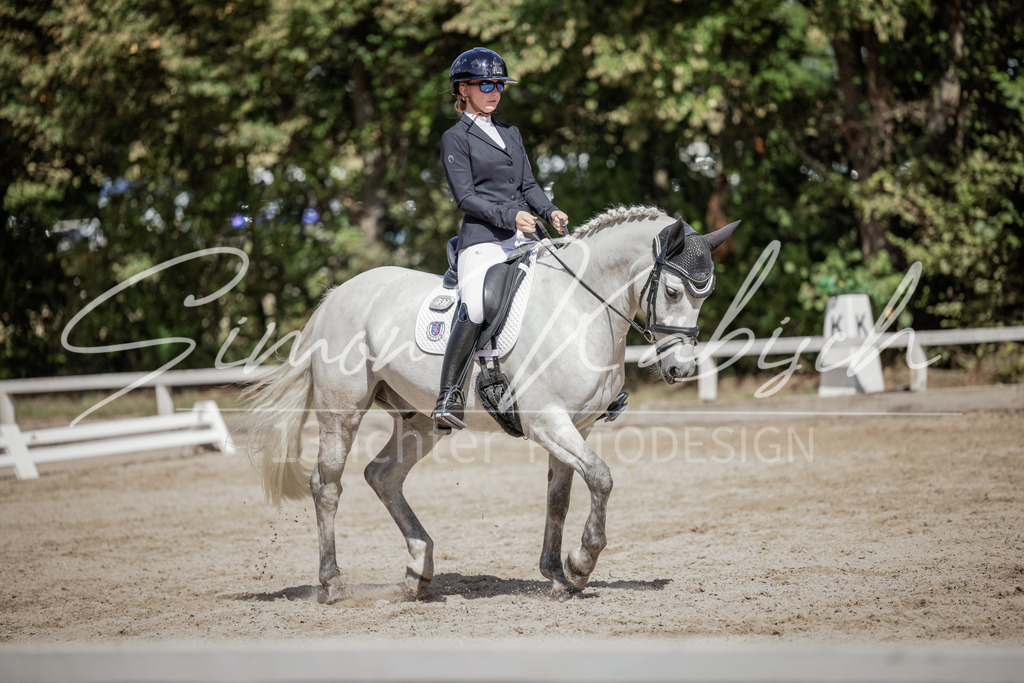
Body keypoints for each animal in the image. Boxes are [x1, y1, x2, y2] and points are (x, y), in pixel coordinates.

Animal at [244, 205, 738, 599]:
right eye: (672, 292)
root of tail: (334, 297)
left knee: (382, 476)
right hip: (342, 413)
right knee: (327, 485)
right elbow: (601, 477)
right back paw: (333, 583)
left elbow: (559, 498)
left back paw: (419, 569)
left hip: (420, 421)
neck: (582, 308)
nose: (681, 370)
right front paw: (581, 562)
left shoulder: (576, 426)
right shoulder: (547, 422)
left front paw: (557, 576)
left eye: (707, 294)